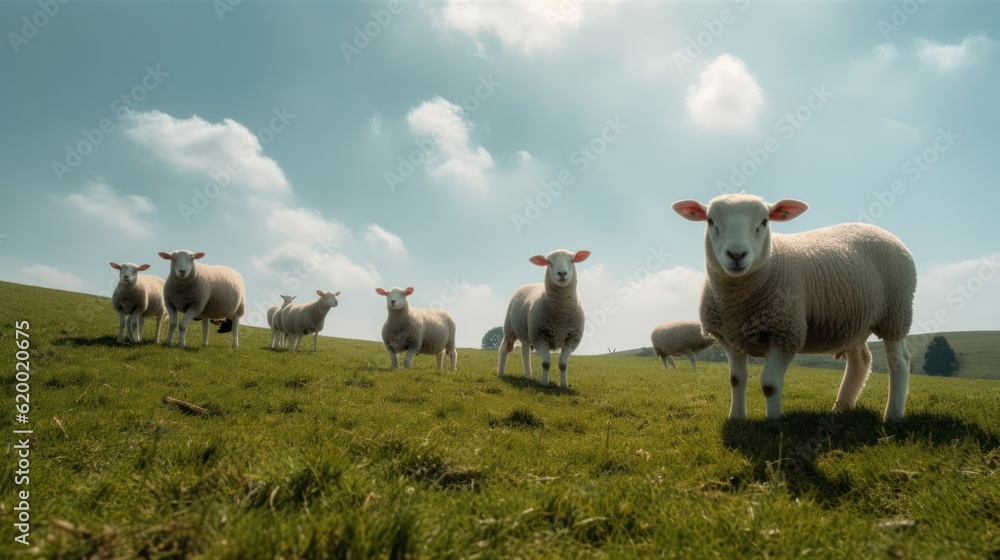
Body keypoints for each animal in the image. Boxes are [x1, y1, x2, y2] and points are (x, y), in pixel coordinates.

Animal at [497, 249, 591, 389]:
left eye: (572, 260)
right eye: (549, 262)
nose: (562, 273)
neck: (561, 314)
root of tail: (530, 283)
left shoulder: (572, 337)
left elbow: (563, 364)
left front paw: (564, 386)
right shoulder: (539, 335)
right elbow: (546, 363)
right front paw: (545, 384)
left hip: (526, 333)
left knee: (525, 353)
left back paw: (528, 376)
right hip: (510, 328)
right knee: (504, 349)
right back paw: (501, 374)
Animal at [672, 193, 916, 421]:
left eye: (764, 221)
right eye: (710, 220)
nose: (737, 255)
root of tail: (879, 230)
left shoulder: (786, 334)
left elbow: (770, 384)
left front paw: (773, 421)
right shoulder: (729, 338)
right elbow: (736, 381)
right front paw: (737, 418)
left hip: (896, 312)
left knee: (899, 361)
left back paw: (892, 414)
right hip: (856, 320)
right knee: (861, 361)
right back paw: (841, 407)